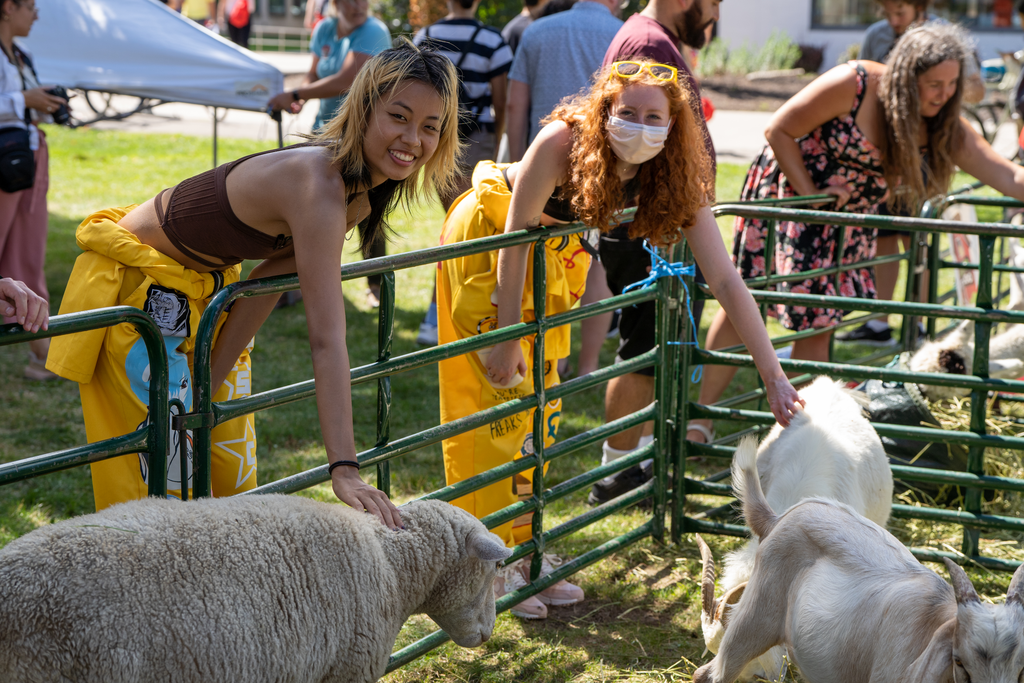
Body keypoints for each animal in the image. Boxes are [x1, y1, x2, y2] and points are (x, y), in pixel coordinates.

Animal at [688, 438, 1024, 683]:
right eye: (959, 661)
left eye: (1020, 668)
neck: (934, 621)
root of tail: (777, 518)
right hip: (752, 621)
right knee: (709, 674)